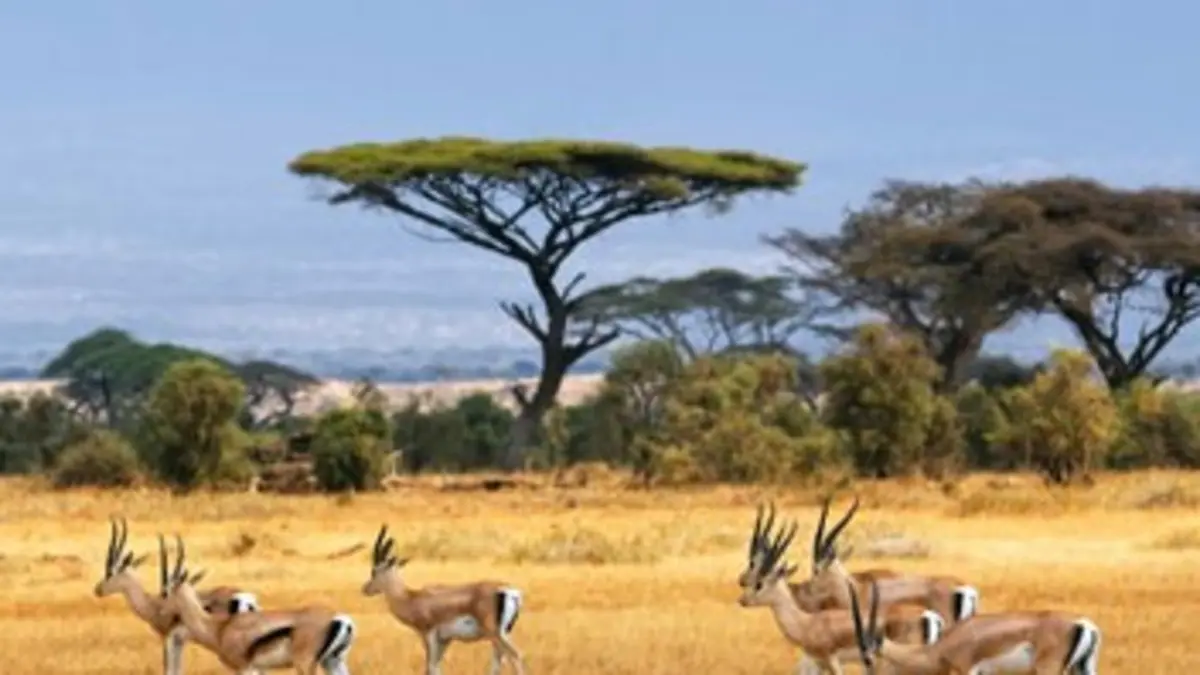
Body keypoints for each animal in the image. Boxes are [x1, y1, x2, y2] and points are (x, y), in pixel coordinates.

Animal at [92, 517, 260, 675]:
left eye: (110, 573)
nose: (97, 590)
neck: (154, 604)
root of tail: (245, 598)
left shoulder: (169, 638)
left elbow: (171, 668)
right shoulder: (179, 641)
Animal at [158, 533, 357, 674]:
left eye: (166, 592)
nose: (160, 612)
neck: (219, 628)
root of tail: (339, 619)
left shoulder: (245, 668)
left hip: (306, 665)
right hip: (333, 662)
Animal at [363, 524, 526, 675]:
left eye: (374, 571)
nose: (365, 589)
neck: (412, 598)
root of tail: (509, 590)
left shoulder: (429, 635)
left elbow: (431, 667)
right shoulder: (445, 639)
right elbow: (435, 666)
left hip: (495, 633)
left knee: (515, 655)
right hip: (503, 633)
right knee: (498, 662)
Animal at [738, 503, 946, 675]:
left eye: (759, 583)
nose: (742, 599)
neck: (808, 623)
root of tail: (929, 616)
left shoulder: (831, 661)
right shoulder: (819, 664)